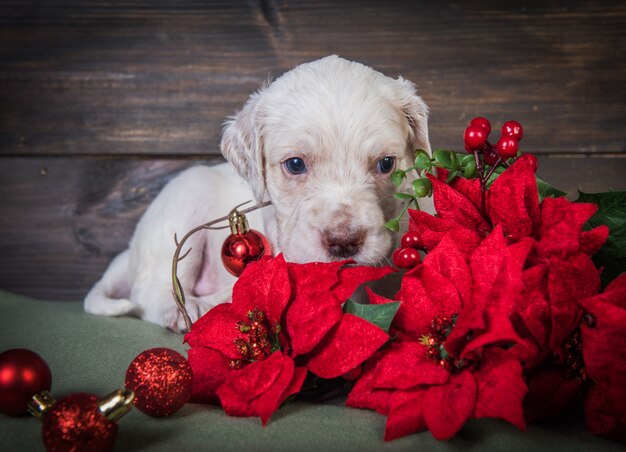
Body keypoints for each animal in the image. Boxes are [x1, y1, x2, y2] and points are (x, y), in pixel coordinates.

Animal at [84, 56, 428, 332]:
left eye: (386, 164)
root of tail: (129, 254)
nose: (344, 242)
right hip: (187, 197)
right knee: (150, 292)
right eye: (295, 164)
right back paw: (189, 308)